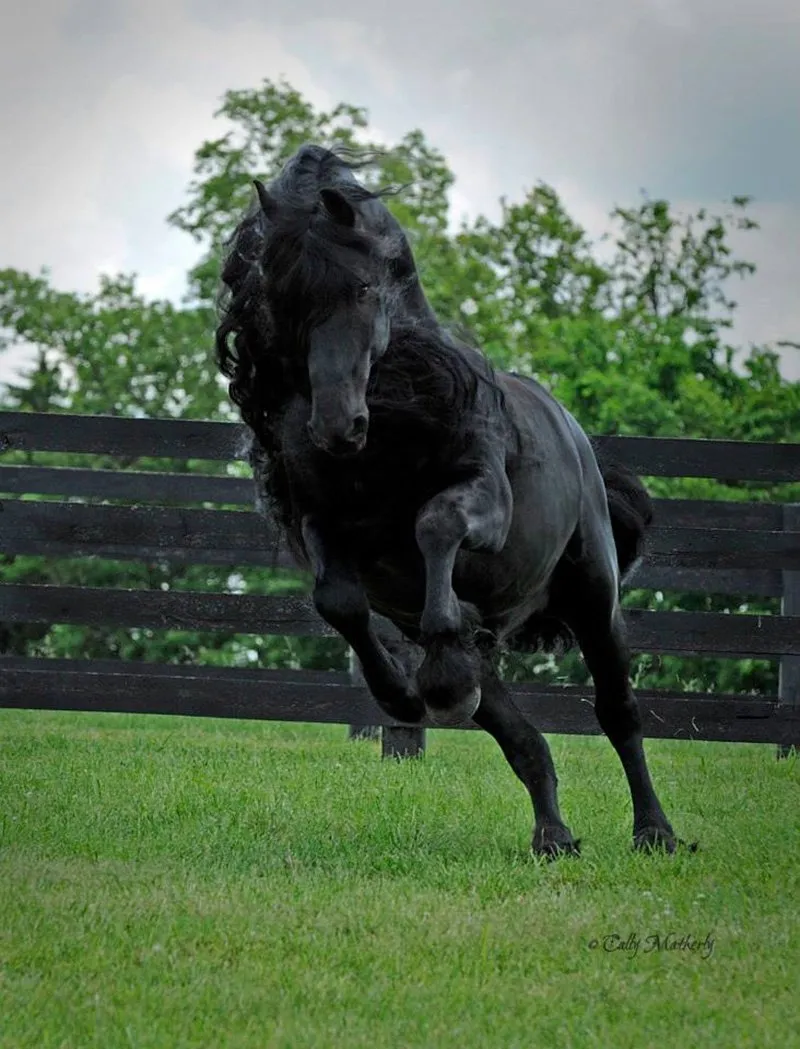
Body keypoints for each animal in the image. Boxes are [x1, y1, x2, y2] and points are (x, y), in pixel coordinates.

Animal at [217, 143, 687, 855]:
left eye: (362, 288)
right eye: (282, 299)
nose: (335, 427)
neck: (386, 435)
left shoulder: (486, 498)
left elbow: (435, 523)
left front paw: (442, 659)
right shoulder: (322, 521)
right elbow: (339, 601)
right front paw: (404, 695)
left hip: (594, 598)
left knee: (619, 714)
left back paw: (655, 832)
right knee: (523, 741)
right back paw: (552, 835)